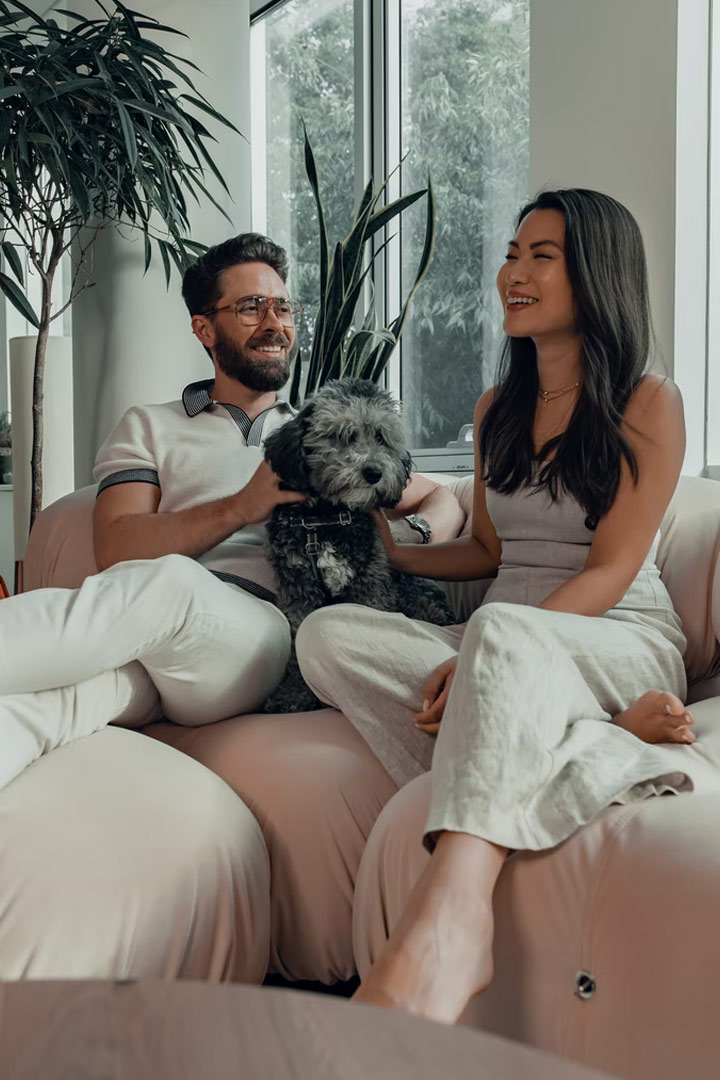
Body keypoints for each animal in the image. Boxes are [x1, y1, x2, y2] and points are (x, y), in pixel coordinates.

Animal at [263, 375, 455, 712]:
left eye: (381, 437)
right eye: (341, 435)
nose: (374, 472)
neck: (325, 519)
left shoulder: (370, 583)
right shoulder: (298, 591)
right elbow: (298, 642)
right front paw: (295, 694)